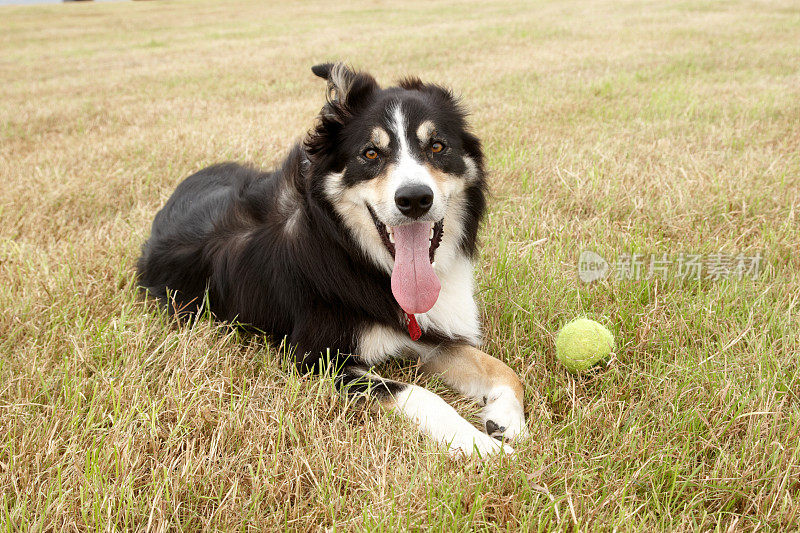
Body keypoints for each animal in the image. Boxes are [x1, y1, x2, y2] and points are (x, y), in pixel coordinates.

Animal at [136, 62, 532, 454]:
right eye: (370, 153)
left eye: (437, 146)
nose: (415, 199)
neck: (350, 252)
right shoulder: (316, 359)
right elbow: (416, 393)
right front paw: (482, 447)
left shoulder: (424, 332)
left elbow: (503, 369)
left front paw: (506, 419)